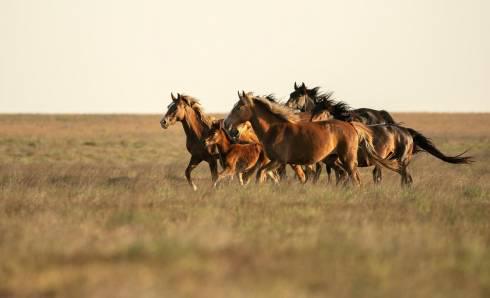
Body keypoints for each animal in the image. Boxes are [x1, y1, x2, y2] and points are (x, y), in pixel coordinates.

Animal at [225, 91, 398, 185]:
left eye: (239, 107)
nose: (227, 125)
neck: (276, 128)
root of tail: (351, 125)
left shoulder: (279, 161)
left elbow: (262, 174)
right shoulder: (278, 162)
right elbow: (262, 174)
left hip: (347, 159)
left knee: (355, 179)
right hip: (333, 159)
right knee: (344, 175)